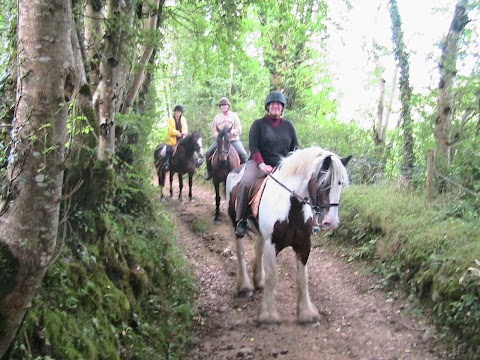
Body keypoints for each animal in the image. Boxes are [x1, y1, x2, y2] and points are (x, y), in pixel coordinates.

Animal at [227, 146, 350, 324]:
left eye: (340, 185)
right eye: (324, 183)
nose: (331, 222)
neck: (292, 208)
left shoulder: (304, 245)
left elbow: (302, 279)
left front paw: (307, 314)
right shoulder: (272, 245)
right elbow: (272, 278)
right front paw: (268, 315)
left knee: (258, 247)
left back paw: (259, 280)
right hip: (235, 225)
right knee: (240, 251)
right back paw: (244, 286)